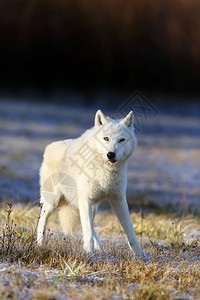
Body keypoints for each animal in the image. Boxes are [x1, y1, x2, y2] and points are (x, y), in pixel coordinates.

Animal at [36, 109, 145, 258]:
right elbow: (87, 231)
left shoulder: (119, 200)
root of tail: (48, 147)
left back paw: (100, 249)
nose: (111, 154)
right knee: (42, 220)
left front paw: (141, 255)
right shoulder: (85, 199)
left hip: (92, 207)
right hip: (53, 201)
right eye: (106, 138)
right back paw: (39, 244)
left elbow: (130, 230)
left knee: (91, 226)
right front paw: (88, 254)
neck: (105, 170)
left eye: (121, 140)